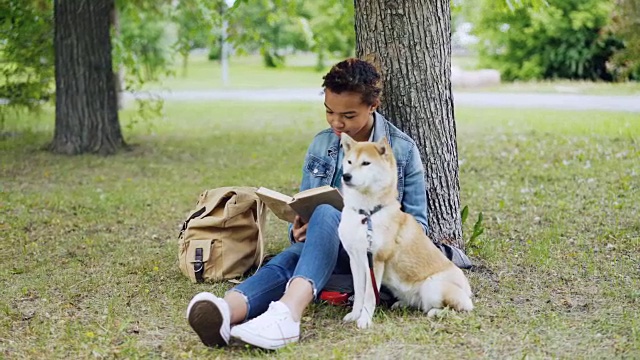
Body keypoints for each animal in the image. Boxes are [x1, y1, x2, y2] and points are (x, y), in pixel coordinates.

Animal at [338, 133, 472, 330]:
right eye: (349, 161)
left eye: (366, 163)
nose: (346, 176)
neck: (366, 214)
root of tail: (467, 288)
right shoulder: (355, 260)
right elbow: (359, 293)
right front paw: (355, 315)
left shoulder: (375, 261)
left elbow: (369, 296)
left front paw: (365, 320)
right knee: (419, 304)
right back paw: (402, 304)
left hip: (432, 286)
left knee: (460, 307)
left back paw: (435, 312)